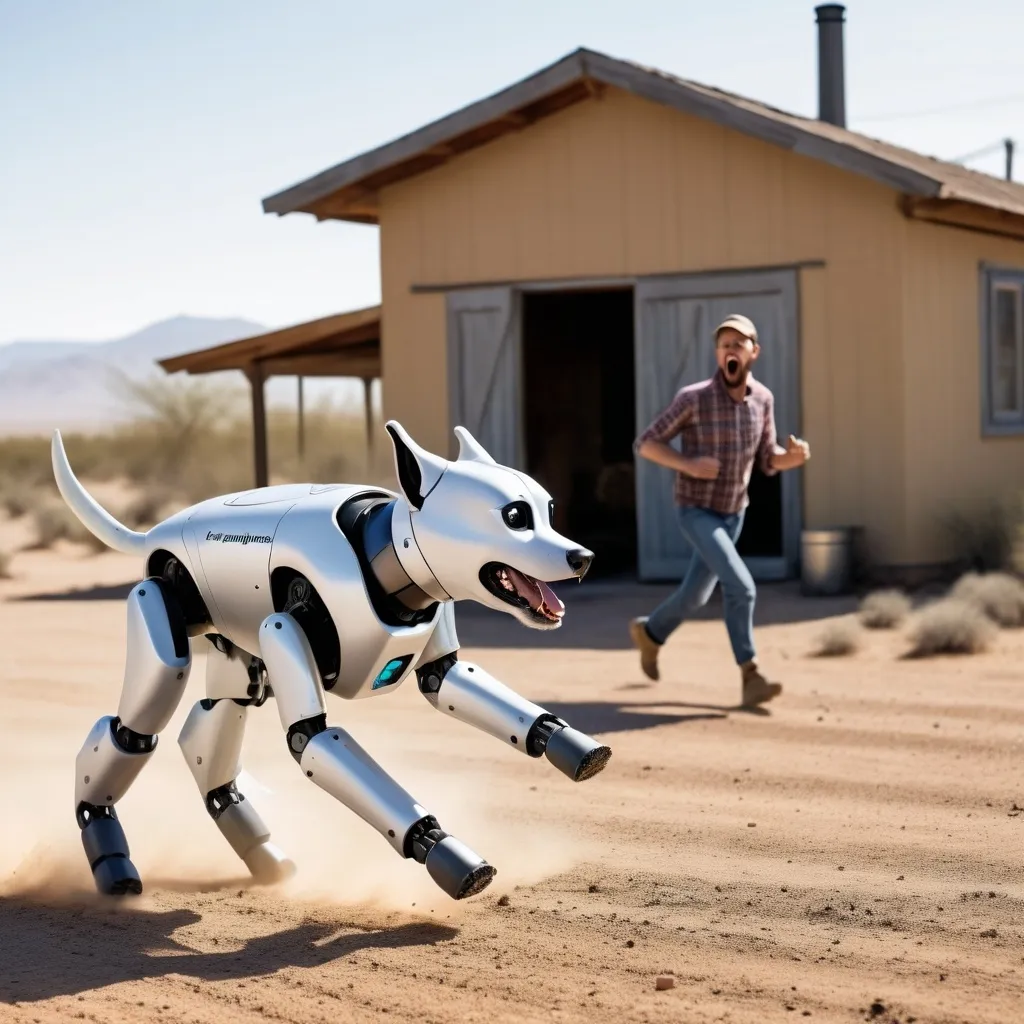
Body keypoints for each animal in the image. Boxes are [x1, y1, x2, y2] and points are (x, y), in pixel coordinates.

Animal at [54, 419, 606, 901]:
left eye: (548, 509)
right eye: (515, 517)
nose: (582, 558)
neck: (388, 551)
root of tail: (154, 535)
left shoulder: (432, 642)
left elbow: (441, 678)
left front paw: (572, 744)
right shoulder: (283, 624)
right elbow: (309, 737)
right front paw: (440, 848)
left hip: (236, 651)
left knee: (216, 724)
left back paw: (264, 856)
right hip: (167, 597)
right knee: (134, 729)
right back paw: (110, 857)